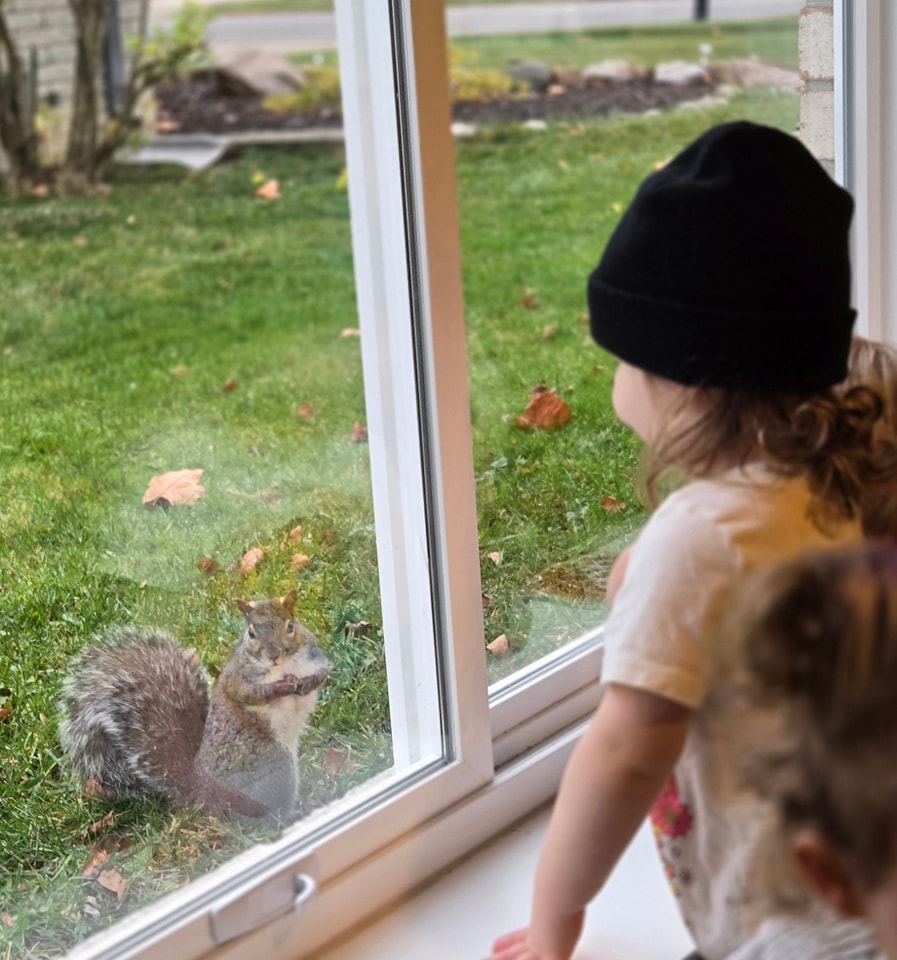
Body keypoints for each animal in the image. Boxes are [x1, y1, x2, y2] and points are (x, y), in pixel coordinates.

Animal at [57, 590, 330, 821]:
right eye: (251, 633)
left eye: (290, 626)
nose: (273, 654)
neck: (283, 666)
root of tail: (199, 789)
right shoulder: (237, 677)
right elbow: (245, 693)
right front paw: (279, 688)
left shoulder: (315, 654)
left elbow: (325, 671)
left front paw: (309, 682)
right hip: (273, 765)